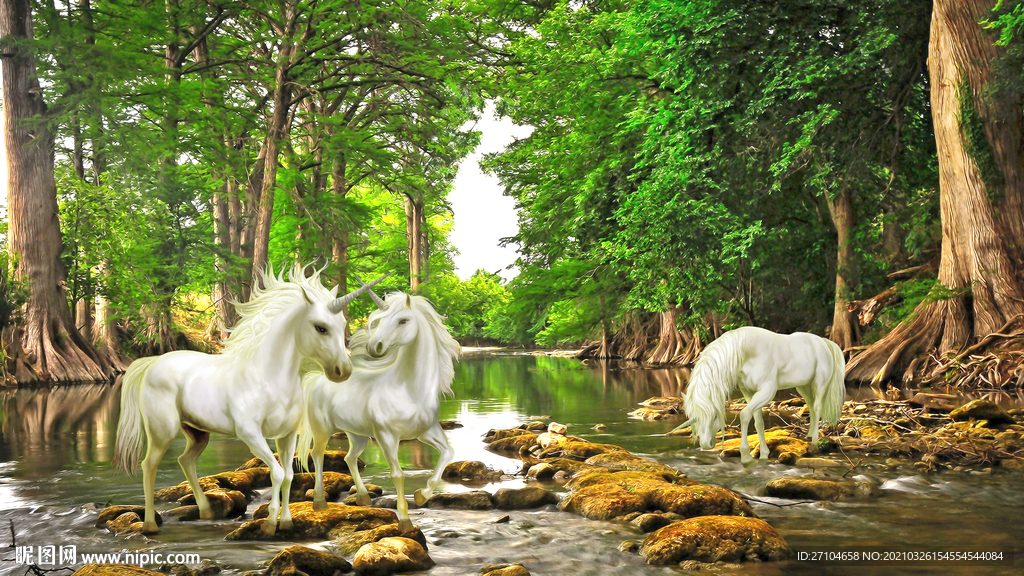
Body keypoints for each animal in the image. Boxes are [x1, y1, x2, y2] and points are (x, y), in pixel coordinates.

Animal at [113, 264, 387, 532]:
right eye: (320, 327)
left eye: (342, 326)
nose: (343, 372)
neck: (268, 378)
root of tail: (152, 363)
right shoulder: (251, 434)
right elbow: (277, 473)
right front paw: (269, 525)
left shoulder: (287, 436)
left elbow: (288, 475)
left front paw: (285, 523)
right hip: (163, 431)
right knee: (149, 465)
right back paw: (150, 525)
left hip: (197, 432)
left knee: (185, 460)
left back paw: (207, 512)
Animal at [299, 280, 462, 528]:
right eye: (380, 320)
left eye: (403, 320)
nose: (374, 347)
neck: (409, 390)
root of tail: (317, 379)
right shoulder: (387, 436)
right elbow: (397, 474)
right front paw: (405, 520)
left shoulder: (427, 432)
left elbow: (448, 453)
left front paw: (421, 495)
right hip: (322, 430)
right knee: (317, 456)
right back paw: (319, 502)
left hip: (357, 435)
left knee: (349, 457)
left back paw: (364, 497)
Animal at [667, 325, 843, 463]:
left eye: (715, 415)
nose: (705, 444)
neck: (747, 353)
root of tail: (824, 342)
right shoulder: (750, 392)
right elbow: (758, 422)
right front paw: (764, 454)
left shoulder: (767, 391)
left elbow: (745, 415)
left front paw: (745, 456)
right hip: (803, 387)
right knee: (811, 408)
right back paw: (808, 436)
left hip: (818, 385)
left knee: (817, 408)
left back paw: (813, 443)